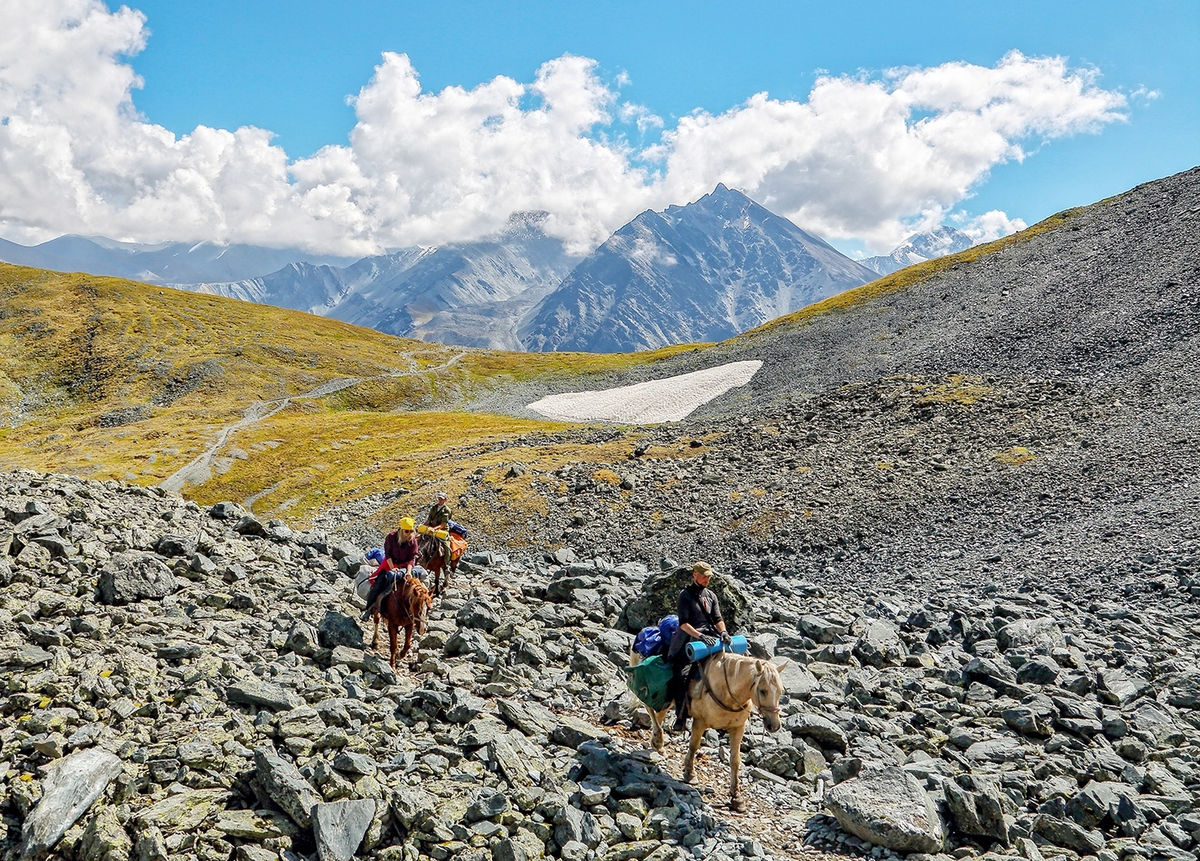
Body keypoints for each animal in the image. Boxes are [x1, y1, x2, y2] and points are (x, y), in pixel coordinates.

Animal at [628, 652, 787, 810]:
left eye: (780, 692)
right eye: (763, 691)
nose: (774, 726)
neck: (727, 692)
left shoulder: (738, 728)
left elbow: (735, 760)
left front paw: (736, 797)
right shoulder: (700, 722)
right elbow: (693, 746)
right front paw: (690, 774)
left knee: (659, 715)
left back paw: (658, 746)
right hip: (661, 695)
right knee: (650, 708)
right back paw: (658, 739)